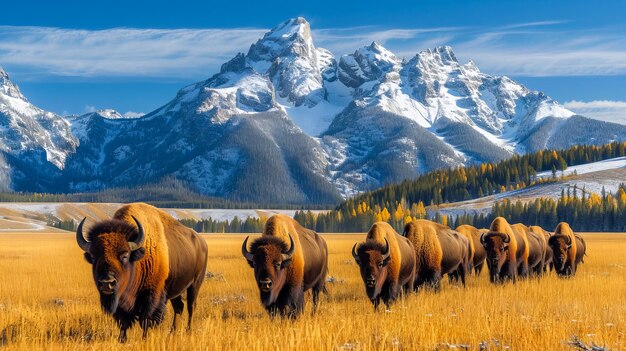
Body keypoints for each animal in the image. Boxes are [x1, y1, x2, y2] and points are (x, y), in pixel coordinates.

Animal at [75, 204, 207, 344]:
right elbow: (123, 321)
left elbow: (145, 319)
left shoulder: (151, 296)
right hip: (175, 289)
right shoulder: (120, 300)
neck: (138, 259)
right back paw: (172, 332)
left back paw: (188, 331)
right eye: (93, 257)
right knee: (179, 307)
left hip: (195, 284)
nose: (107, 283)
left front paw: (144, 338)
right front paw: (122, 339)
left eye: (125, 256)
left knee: (191, 307)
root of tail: (202, 242)